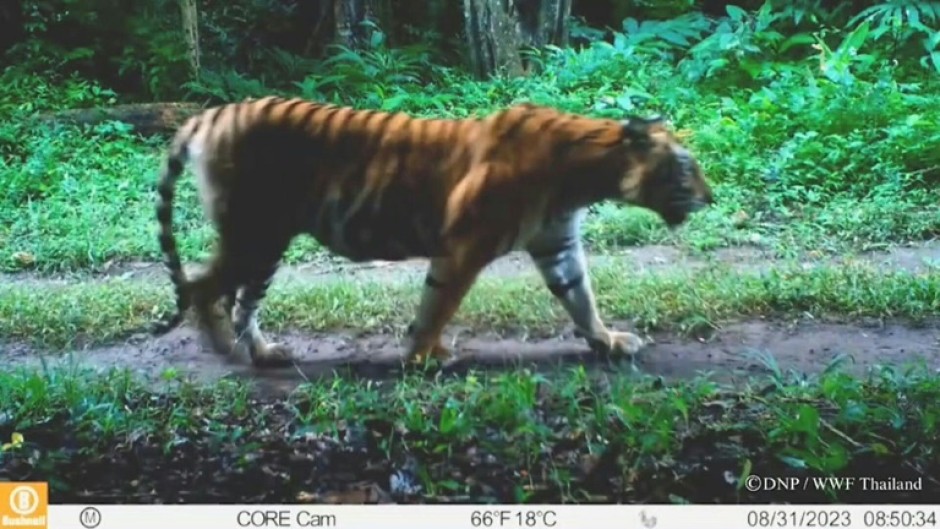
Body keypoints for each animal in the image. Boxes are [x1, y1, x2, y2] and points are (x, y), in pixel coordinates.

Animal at [152, 96, 714, 369]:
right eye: (687, 168)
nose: (712, 199)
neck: (584, 175)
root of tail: (212, 113)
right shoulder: (464, 244)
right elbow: (439, 303)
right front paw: (423, 357)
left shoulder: (557, 244)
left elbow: (580, 298)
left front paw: (607, 341)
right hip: (256, 232)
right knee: (204, 287)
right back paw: (224, 351)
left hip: (267, 241)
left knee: (241, 301)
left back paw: (265, 355)